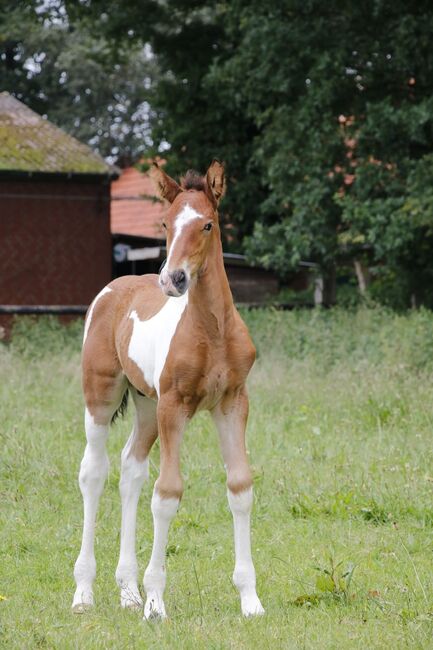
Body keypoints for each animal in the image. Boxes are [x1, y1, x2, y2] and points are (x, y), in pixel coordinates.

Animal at [71, 159, 264, 616]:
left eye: (207, 224)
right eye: (165, 223)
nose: (173, 279)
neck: (211, 332)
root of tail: (115, 287)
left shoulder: (232, 402)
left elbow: (240, 486)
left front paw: (250, 599)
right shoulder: (175, 406)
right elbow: (168, 493)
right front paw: (156, 602)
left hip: (146, 406)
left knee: (130, 469)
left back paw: (127, 591)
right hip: (102, 396)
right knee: (94, 471)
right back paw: (84, 592)